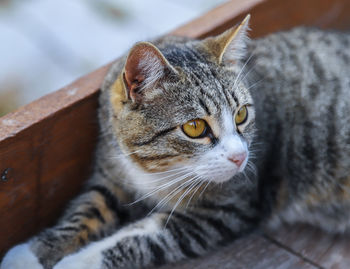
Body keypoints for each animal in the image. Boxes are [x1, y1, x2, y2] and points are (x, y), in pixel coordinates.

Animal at [2, 15, 350, 268]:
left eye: (241, 114)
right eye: (195, 127)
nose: (240, 158)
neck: (152, 172)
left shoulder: (225, 209)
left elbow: (142, 235)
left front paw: (77, 263)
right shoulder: (112, 172)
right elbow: (87, 210)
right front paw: (30, 256)